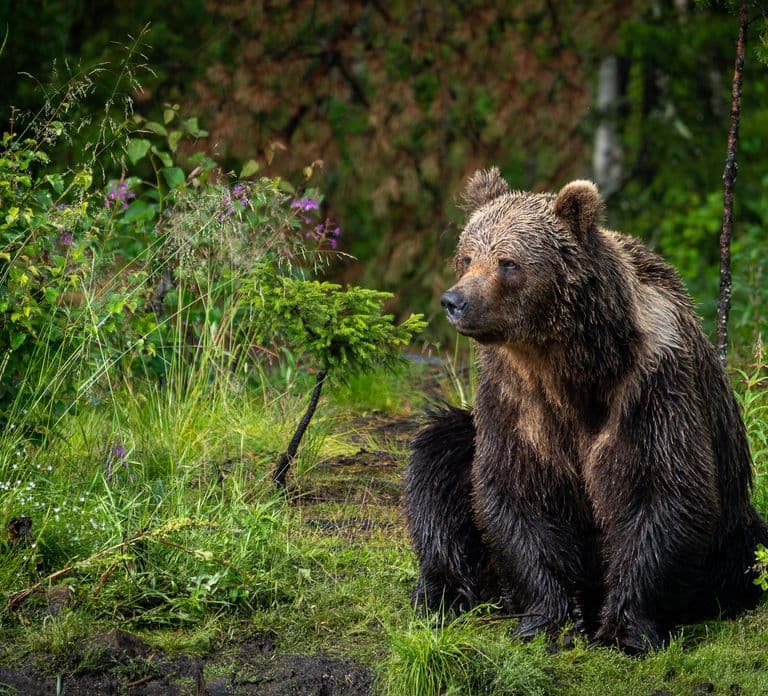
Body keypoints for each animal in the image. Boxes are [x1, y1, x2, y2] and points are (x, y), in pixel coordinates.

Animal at [404, 168, 768, 653]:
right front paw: (548, 619)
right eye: (466, 256)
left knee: (748, 557)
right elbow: (516, 490)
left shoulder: (650, 388)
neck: (572, 366)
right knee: (438, 456)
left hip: (735, 532)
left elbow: (660, 490)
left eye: (507, 262)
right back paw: (442, 592)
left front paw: (624, 628)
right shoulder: (514, 396)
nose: (455, 301)